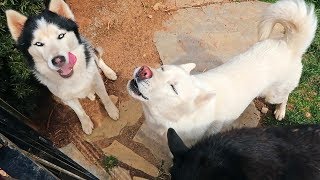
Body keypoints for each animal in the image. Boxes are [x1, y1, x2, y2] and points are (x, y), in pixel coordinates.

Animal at [5, 0, 119, 134]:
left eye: (60, 36)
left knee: (97, 57)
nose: (58, 60)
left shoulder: (97, 81)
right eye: (38, 43)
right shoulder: (66, 98)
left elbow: (105, 98)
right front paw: (85, 123)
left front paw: (112, 110)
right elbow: (79, 111)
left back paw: (109, 72)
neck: (72, 77)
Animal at [127, 0, 318, 145]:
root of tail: (288, 44)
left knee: (284, 97)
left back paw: (280, 111)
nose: (144, 71)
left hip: (273, 95)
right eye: (162, 69)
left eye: (173, 88)